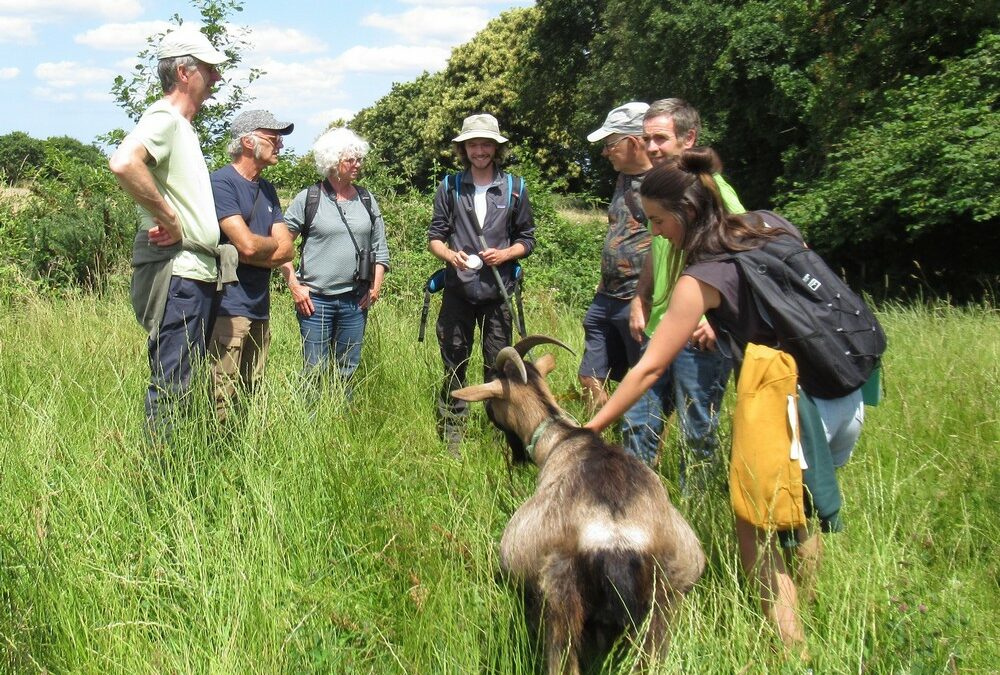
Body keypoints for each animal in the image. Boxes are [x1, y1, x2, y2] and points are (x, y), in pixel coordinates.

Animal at [450, 336, 708, 672]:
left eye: (491, 402)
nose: (516, 455)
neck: (562, 438)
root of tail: (616, 535)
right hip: (665, 599)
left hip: (560, 597)